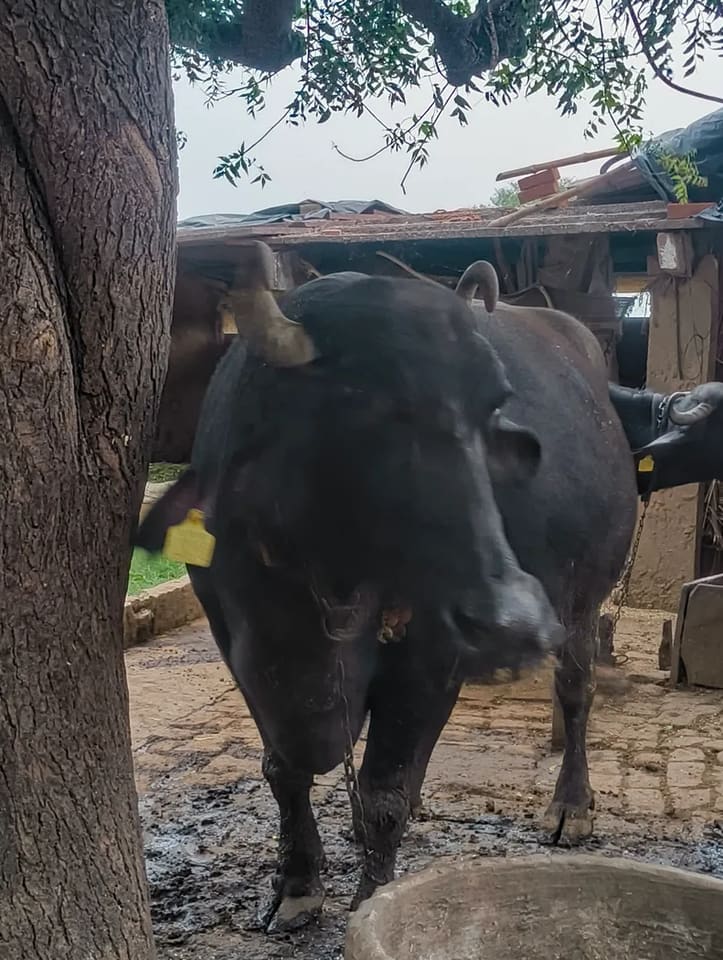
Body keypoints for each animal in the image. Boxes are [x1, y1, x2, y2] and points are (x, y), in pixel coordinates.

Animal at [138, 245, 636, 927]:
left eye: (490, 415)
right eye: (368, 404)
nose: (513, 621)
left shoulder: (430, 656)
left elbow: (383, 793)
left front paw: (371, 898)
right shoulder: (237, 643)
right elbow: (282, 768)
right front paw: (296, 883)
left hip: (584, 600)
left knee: (575, 689)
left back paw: (570, 805)